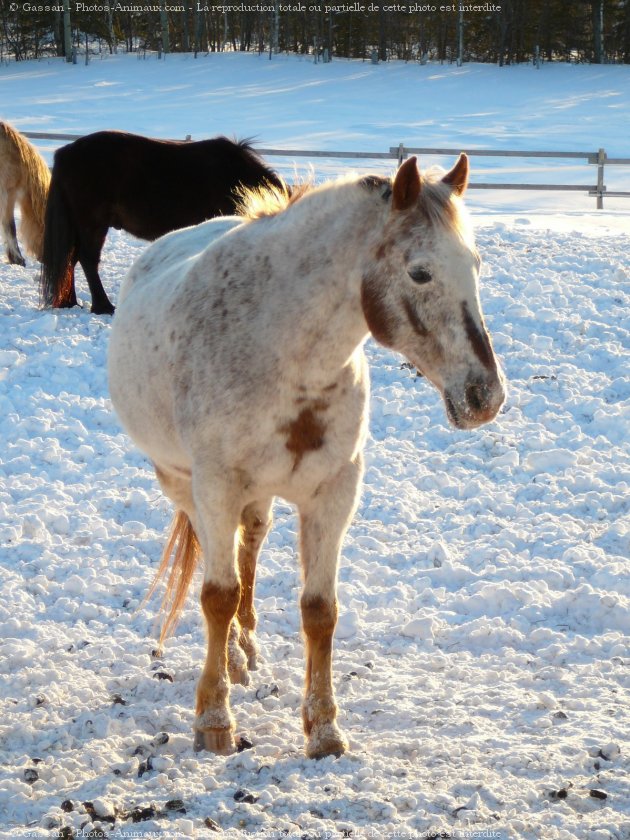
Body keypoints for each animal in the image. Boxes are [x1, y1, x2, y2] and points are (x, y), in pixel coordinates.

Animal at [40, 131, 284, 316]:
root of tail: (65, 153)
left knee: (70, 259)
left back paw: (69, 302)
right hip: (93, 224)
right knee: (88, 260)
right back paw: (103, 307)